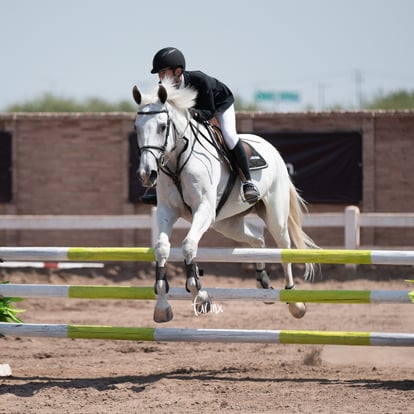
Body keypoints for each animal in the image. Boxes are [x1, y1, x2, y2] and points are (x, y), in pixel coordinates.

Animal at [133, 78, 316, 324]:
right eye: (136, 127)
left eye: (162, 127)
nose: (147, 174)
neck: (177, 160)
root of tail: (271, 148)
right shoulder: (167, 211)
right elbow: (162, 248)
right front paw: (162, 308)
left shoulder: (203, 210)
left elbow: (189, 246)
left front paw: (200, 295)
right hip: (226, 223)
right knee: (257, 239)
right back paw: (263, 283)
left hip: (274, 215)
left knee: (283, 247)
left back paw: (295, 302)